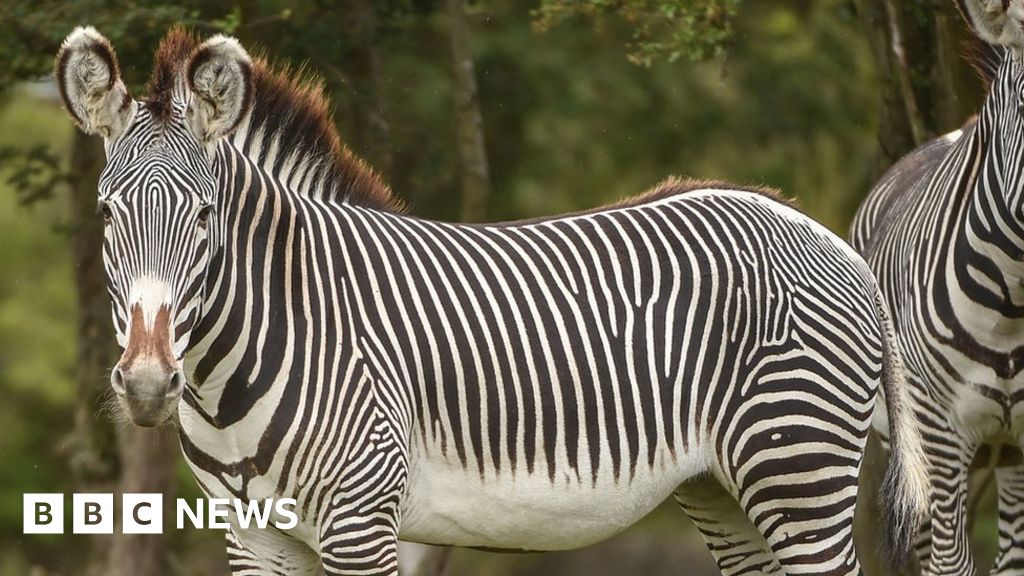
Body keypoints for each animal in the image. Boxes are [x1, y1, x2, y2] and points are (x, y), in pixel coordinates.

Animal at [58, 25, 929, 573]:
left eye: (205, 217)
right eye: (105, 213)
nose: (146, 384)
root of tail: (822, 232)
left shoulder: (361, 523)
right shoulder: (256, 539)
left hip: (798, 468)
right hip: (724, 490)